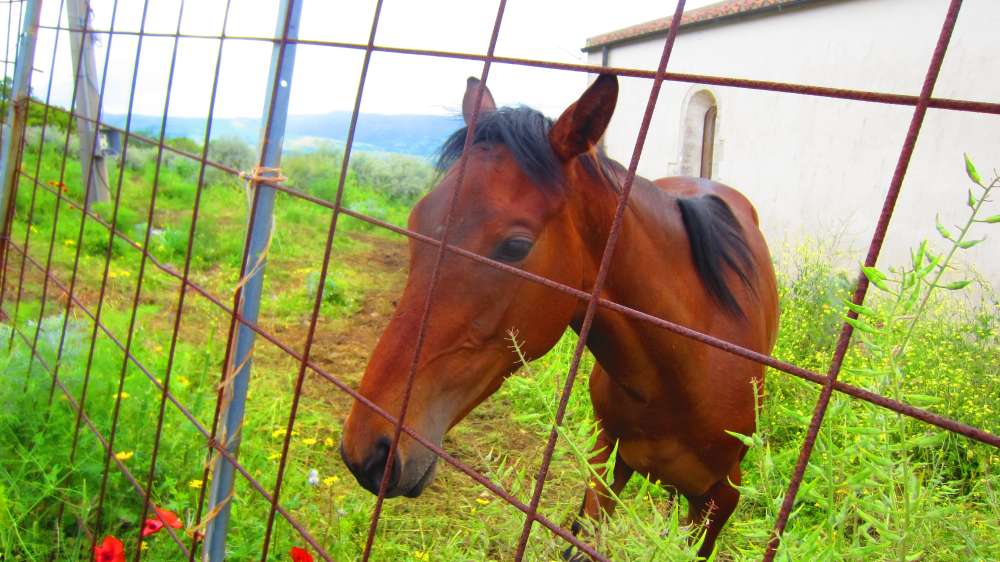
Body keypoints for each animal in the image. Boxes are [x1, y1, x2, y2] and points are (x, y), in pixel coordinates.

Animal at [340, 74, 779, 559]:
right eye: (416, 221)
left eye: (515, 246)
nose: (368, 450)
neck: (685, 367)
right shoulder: (606, 461)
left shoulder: (721, 500)